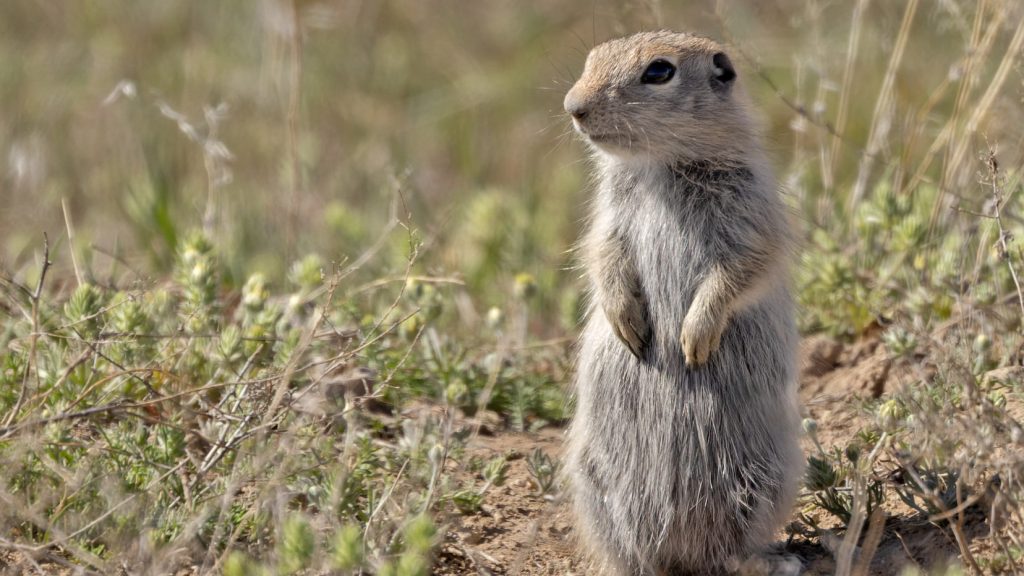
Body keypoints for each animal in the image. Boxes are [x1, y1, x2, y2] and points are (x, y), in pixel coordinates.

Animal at [563, 31, 803, 575]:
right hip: (590, 480)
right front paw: (629, 325)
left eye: (659, 71)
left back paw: (774, 561)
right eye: (590, 58)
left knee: (733, 553)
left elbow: (738, 271)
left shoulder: (752, 215)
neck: (660, 165)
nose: (573, 107)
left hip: (772, 474)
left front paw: (692, 340)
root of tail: (680, 552)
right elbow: (604, 253)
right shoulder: (609, 218)